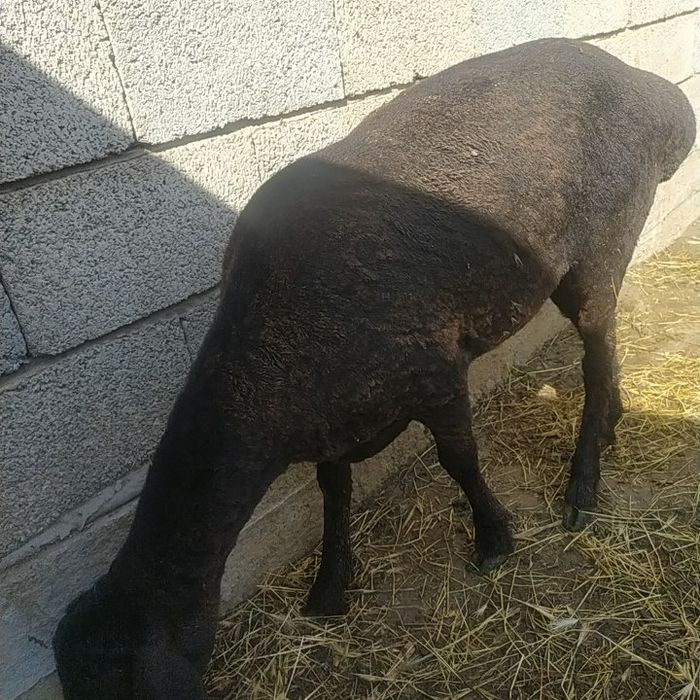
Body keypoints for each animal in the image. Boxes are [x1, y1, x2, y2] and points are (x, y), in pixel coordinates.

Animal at [53, 37, 696, 699]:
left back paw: (584, 483)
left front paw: (494, 540)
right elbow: (334, 493)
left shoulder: (435, 372)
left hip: (601, 247)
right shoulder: (332, 425)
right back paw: (613, 426)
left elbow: (458, 460)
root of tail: (655, 94)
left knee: (596, 352)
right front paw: (329, 587)